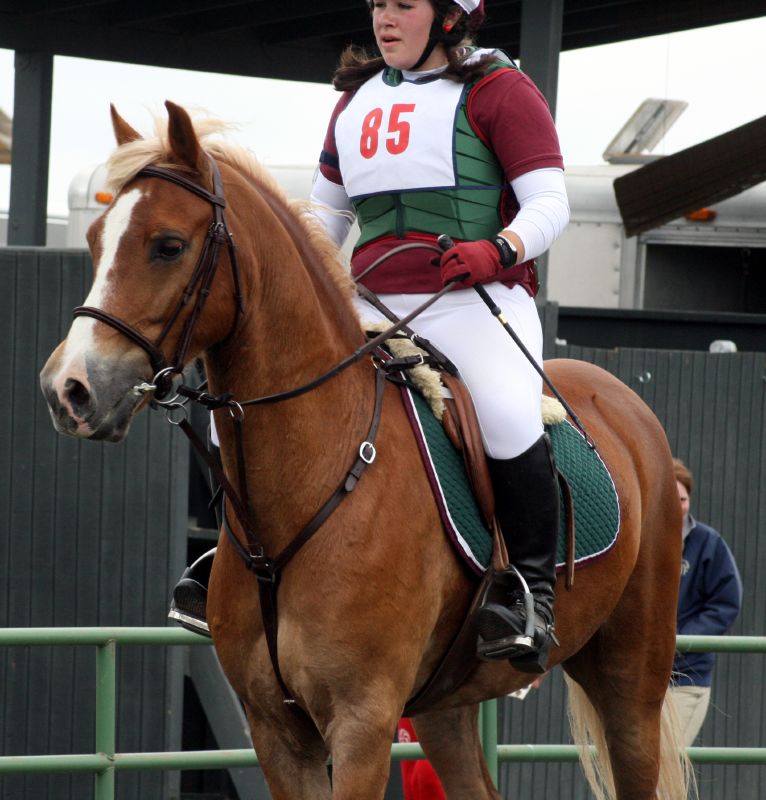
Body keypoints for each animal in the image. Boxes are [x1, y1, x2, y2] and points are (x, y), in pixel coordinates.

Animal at [39, 101, 692, 800]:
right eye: (94, 239)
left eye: (167, 246)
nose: (69, 389)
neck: (313, 481)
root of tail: (622, 401)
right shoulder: (276, 731)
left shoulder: (362, 723)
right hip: (445, 708)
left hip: (629, 684)